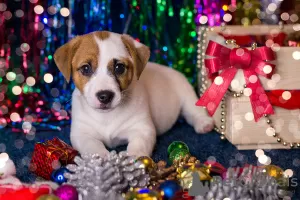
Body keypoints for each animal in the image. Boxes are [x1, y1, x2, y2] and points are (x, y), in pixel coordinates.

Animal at [53, 31, 213, 157]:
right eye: (86, 68)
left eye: (119, 67)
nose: (105, 96)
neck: (107, 117)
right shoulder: (81, 134)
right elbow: (92, 146)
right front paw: (101, 159)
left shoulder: (142, 129)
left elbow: (138, 145)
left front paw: (135, 159)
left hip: (187, 95)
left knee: (194, 112)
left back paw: (204, 123)